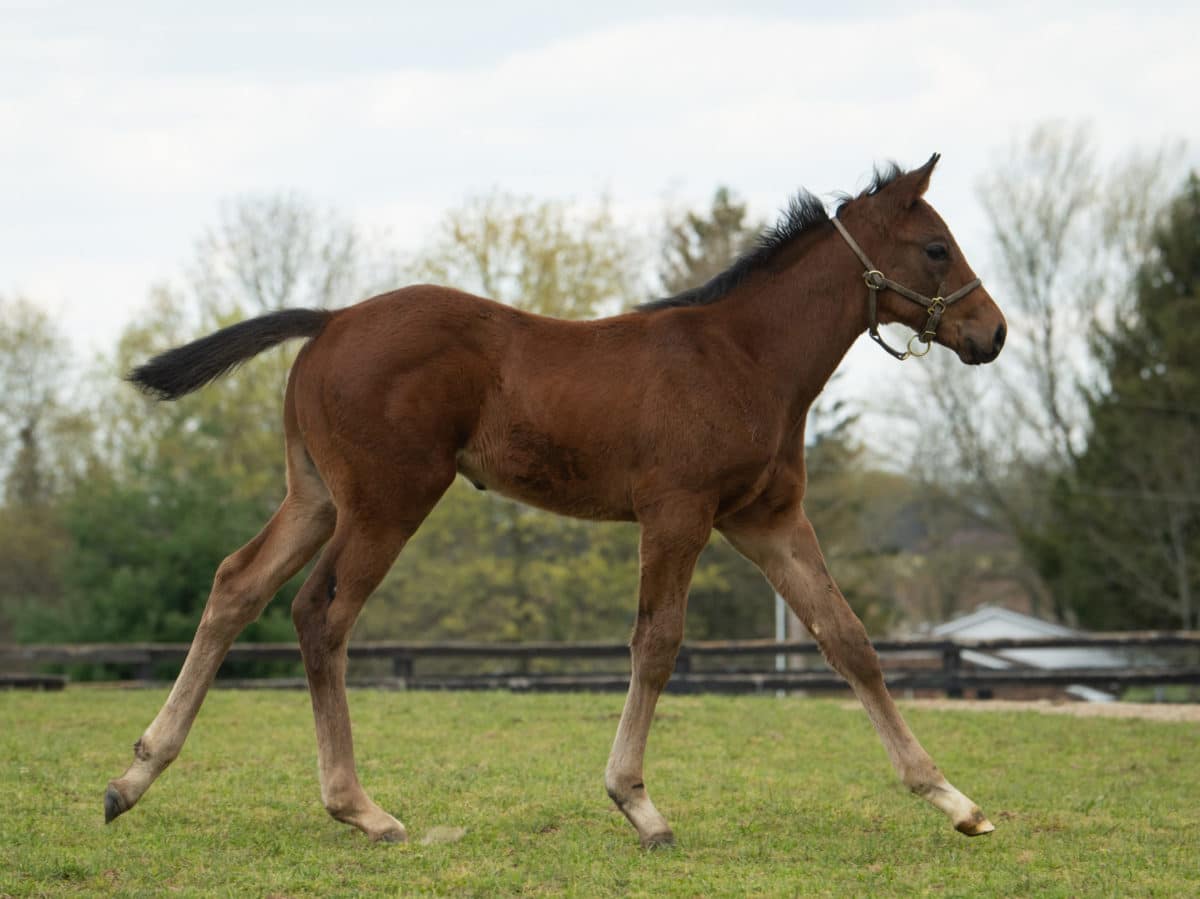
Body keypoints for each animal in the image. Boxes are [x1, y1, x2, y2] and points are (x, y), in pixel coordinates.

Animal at [108, 156, 1003, 849]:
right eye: (935, 246)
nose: (992, 333)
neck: (743, 357)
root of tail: (330, 320)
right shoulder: (677, 514)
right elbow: (657, 642)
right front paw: (638, 805)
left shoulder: (767, 519)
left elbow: (848, 639)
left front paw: (954, 800)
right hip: (388, 502)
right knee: (320, 612)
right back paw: (359, 808)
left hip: (318, 496)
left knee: (238, 583)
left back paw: (136, 773)